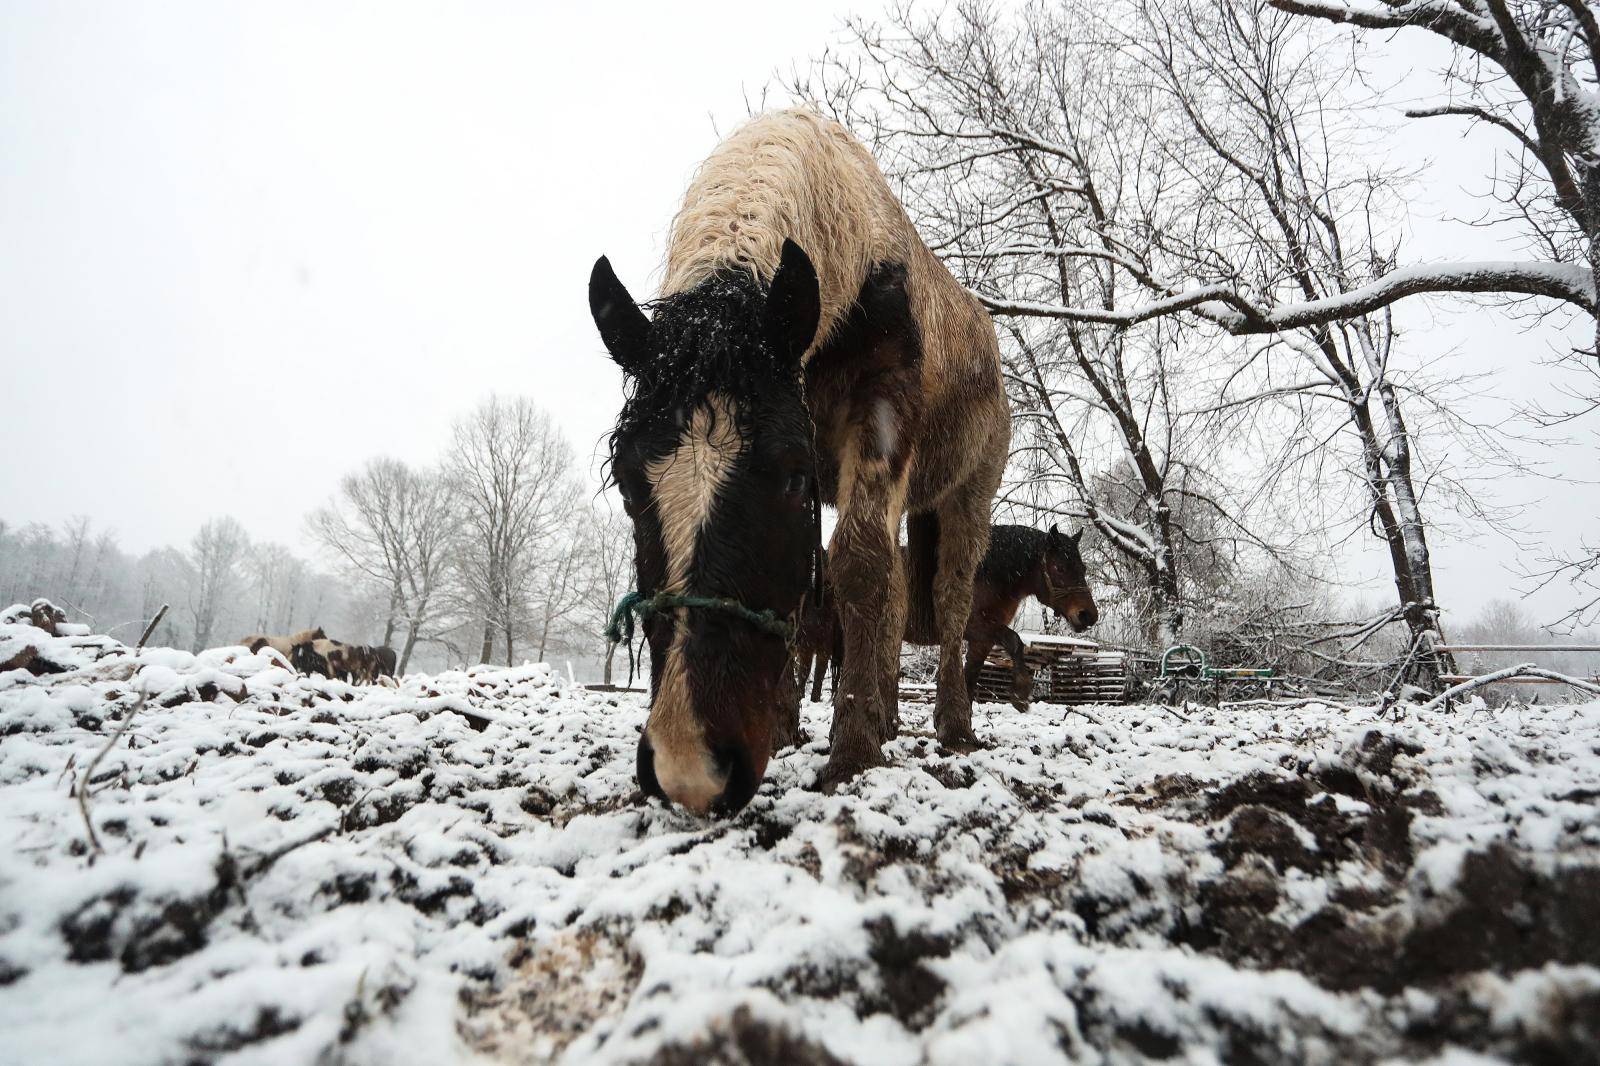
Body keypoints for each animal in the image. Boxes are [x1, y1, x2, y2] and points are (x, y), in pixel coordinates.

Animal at [595, 108, 1004, 809]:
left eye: (790, 477)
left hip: (968, 498)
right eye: (625, 485)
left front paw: (853, 755)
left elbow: (861, 568)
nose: (687, 767)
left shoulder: (877, 421)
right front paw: (790, 727)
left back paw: (952, 725)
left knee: (949, 601)